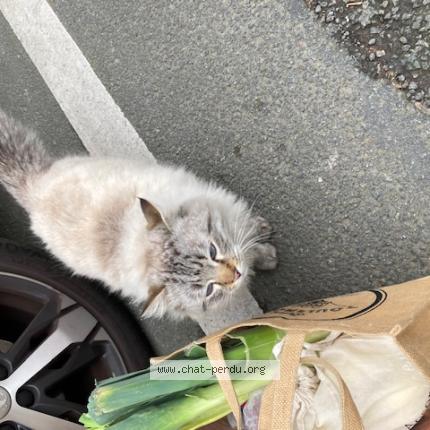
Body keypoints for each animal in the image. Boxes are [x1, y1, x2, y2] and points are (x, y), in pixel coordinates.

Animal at [0, 110, 277, 320]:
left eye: (212, 251)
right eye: (209, 289)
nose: (236, 275)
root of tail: (34, 186)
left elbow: (246, 232)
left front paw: (261, 239)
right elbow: (250, 247)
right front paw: (266, 256)